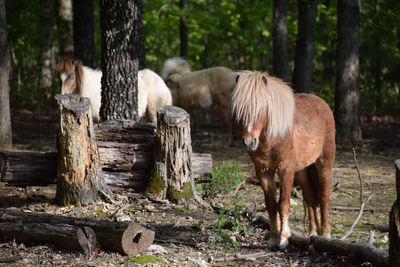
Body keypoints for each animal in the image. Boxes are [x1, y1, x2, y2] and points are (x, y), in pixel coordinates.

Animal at [230, 70, 336, 249]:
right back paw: (313, 234)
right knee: (309, 198)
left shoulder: (286, 170)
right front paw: (273, 238)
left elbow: (284, 204)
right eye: (239, 111)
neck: (274, 137)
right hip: (302, 170)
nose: (249, 142)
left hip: (324, 163)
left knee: (323, 197)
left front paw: (284, 238)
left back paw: (326, 234)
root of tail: (323, 104)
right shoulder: (263, 172)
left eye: (262, 108)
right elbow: (271, 205)